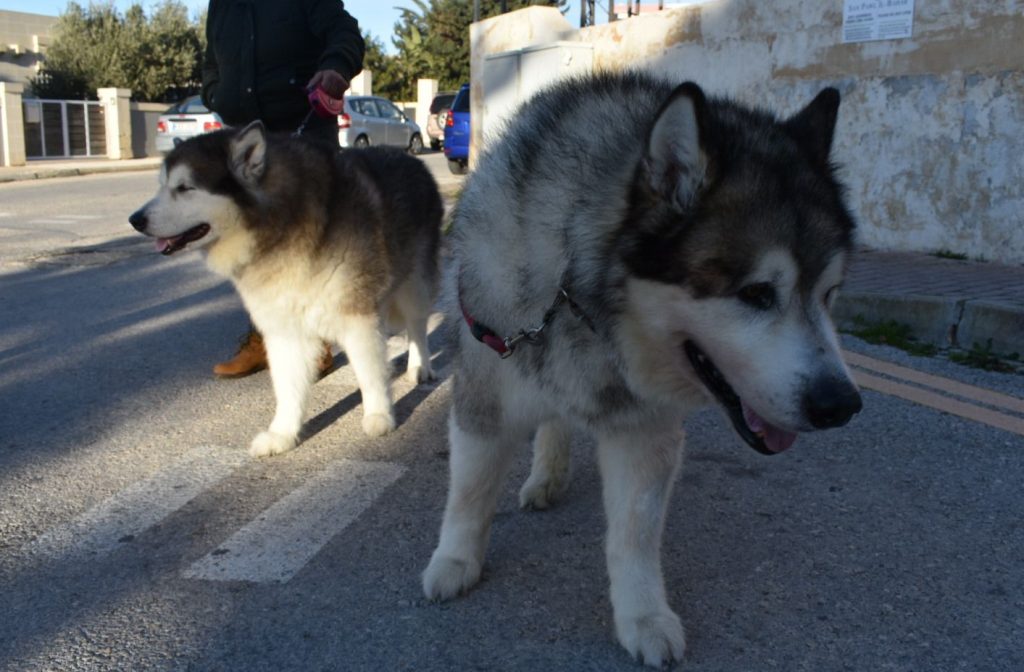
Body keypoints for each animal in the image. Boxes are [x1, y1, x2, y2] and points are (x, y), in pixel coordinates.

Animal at [129, 120, 440, 456]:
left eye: (185, 188)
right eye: (161, 186)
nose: (135, 219)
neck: (279, 226)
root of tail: (412, 158)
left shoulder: (357, 316)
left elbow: (369, 372)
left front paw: (379, 415)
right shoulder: (283, 328)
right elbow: (288, 387)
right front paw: (283, 433)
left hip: (414, 285)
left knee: (417, 325)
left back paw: (419, 366)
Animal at [423, 74, 864, 667]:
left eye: (829, 294)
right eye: (756, 293)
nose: (841, 404)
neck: (580, 298)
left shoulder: (644, 430)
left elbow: (634, 532)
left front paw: (643, 617)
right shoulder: (486, 391)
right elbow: (469, 491)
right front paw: (455, 560)